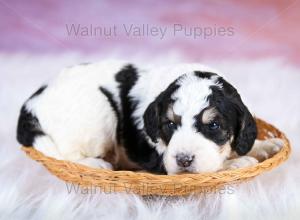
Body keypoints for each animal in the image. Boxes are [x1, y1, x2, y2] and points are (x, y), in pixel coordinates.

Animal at [17, 59, 284, 174]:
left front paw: (267, 145)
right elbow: (211, 166)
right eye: (170, 124)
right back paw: (98, 164)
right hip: (98, 113)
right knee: (68, 156)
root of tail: (30, 106)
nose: (183, 160)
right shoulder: (159, 161)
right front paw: (240, 162)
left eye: (214, 125)